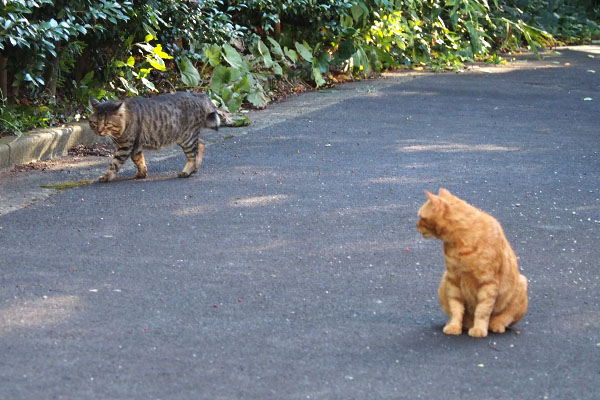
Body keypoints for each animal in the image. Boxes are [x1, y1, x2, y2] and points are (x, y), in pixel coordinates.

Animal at [88, 92, 219, 181]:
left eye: (107, 124)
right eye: (95, 123)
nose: (99, 131)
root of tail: (197, 95)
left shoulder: (126, 146)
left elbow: (114, 163)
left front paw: (107, 176)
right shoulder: (136, 146)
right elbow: (139, 160)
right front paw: (142, 173)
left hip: (187, 138)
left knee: (192, 155)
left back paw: (186, 172)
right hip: (185, 136)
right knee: (201, 143)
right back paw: (195, 168)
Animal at [414, 188, 528, 338]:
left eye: (421, 217)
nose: (415, 225)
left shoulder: (488, 282)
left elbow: (482, 310)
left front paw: (479, 328)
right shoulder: (453, 280)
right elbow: (456, 308)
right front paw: (454, 326)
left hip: (521, 284)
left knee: (505, 317)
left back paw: (495, 324)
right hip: (443, 282)